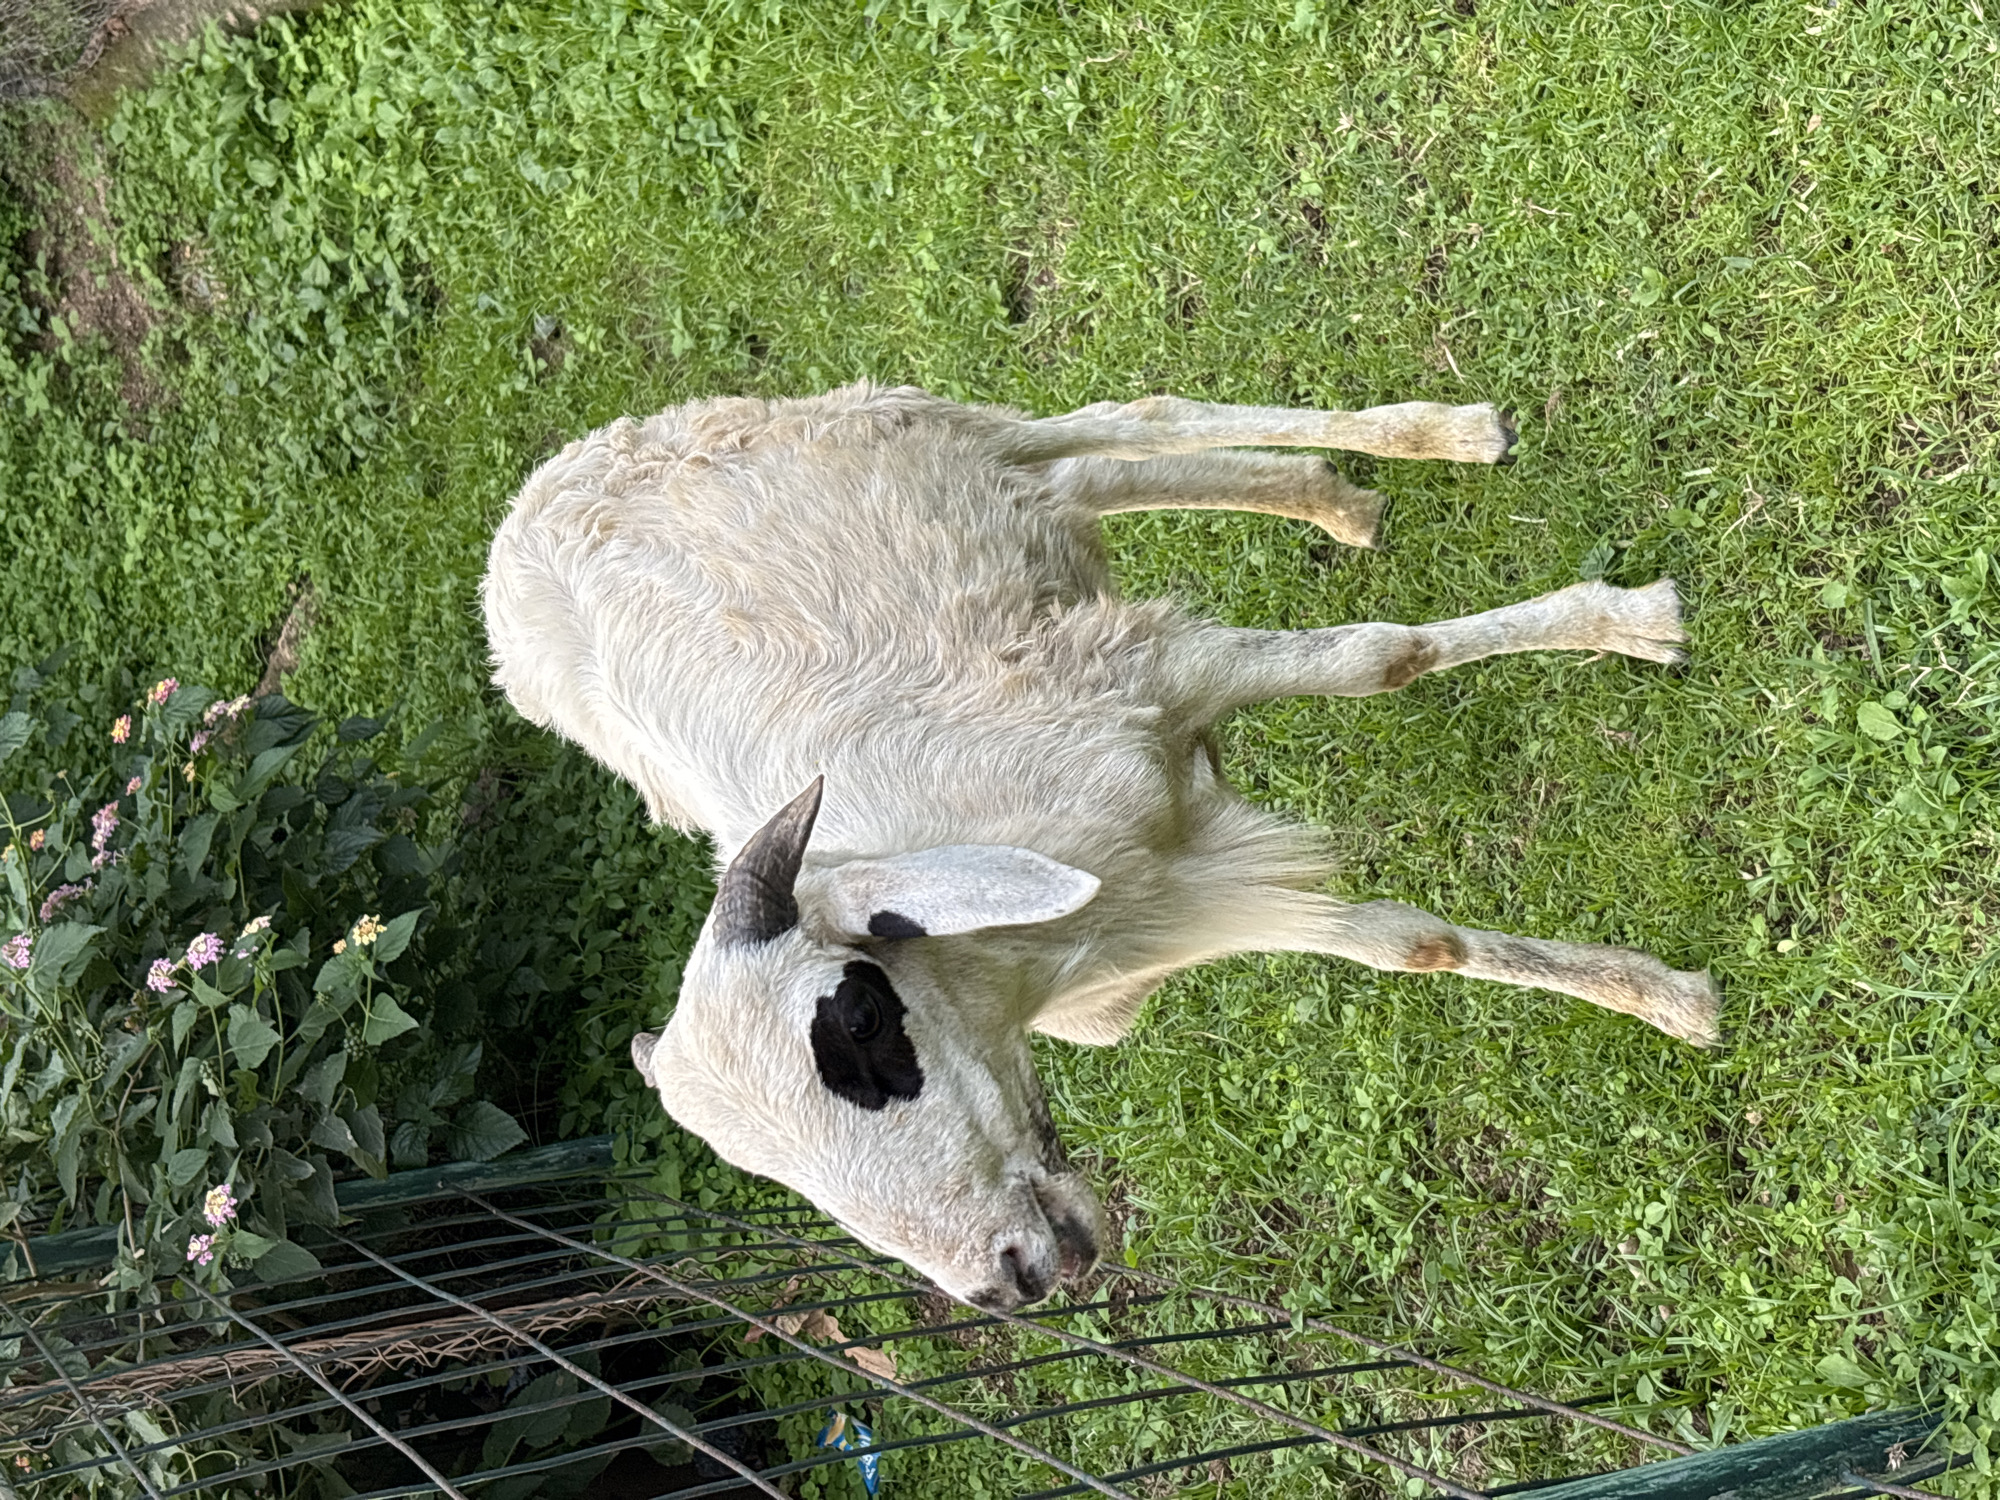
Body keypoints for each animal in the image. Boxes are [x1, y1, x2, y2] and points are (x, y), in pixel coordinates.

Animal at [483, 383, 1717, 1311]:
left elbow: (1383, 657)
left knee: (1123, 422)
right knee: (1089, 475)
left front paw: (1632, 623)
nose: (1005, 1284)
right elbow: (1412, 948)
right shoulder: (1180, 894)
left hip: (915, 430)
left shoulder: (1167, 684)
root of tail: (519, 524)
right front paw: (1650, 994)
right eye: (765, 1171)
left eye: (857, 1021)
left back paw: (1437, 439)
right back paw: (1332, 500)